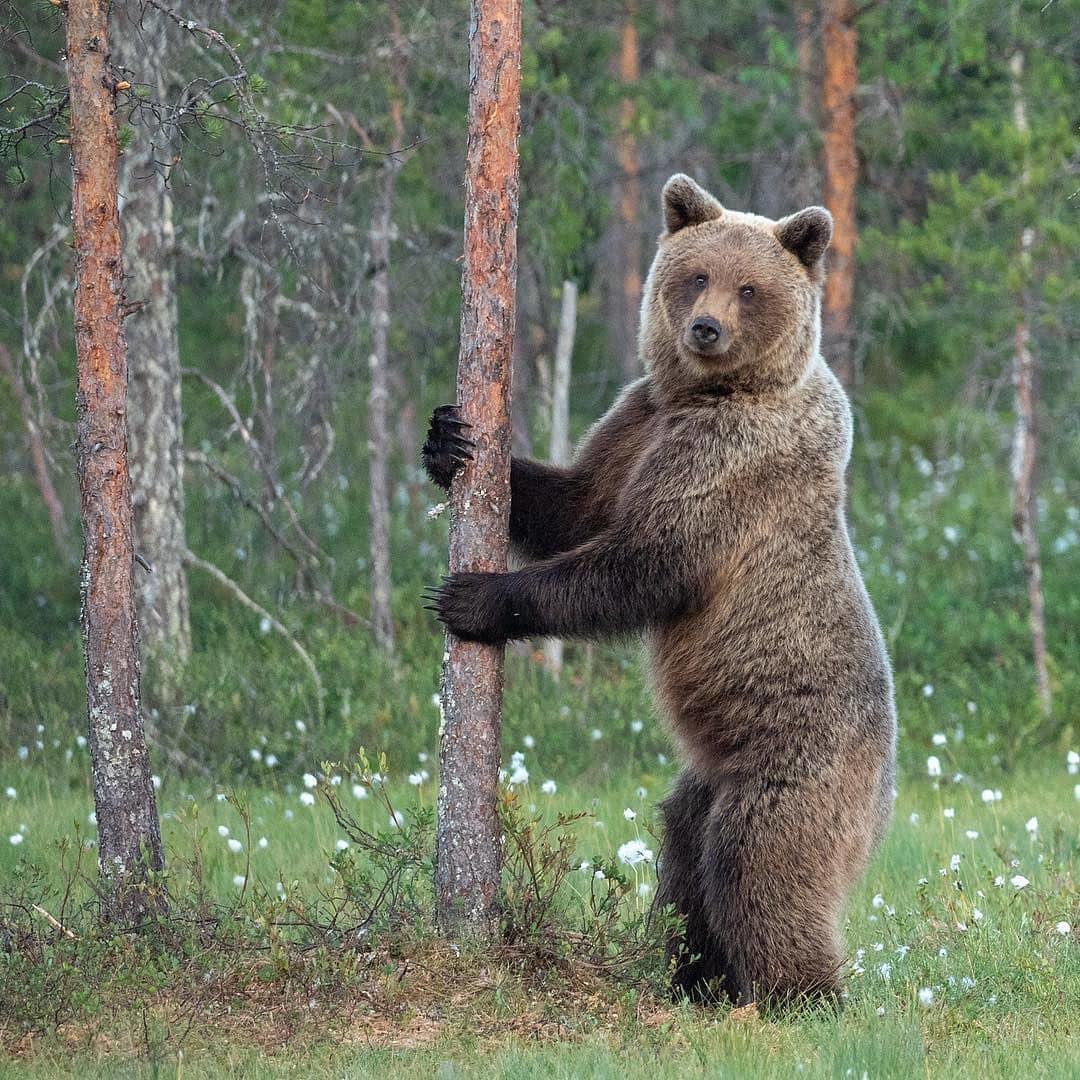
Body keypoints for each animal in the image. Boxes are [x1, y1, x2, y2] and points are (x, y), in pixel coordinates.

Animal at [419, 172, 894, 1006]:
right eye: (696, 275)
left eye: (749, 288)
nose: (705, 329)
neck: (705, 395)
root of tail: (887, 788)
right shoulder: (640, 419)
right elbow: (575, 505)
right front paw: (450, 440)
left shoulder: (728, 464)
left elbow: (642, 562)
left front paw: (474, 597)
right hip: (707, 774)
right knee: (684, 853)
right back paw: (694, 975)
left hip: (799, 757)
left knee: (759, 863)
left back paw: (798, 995)